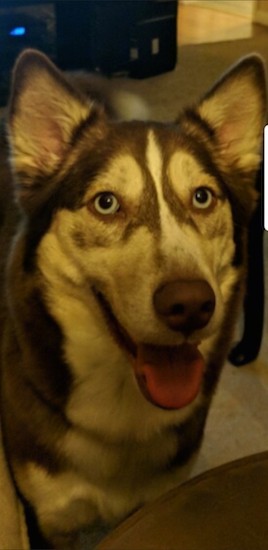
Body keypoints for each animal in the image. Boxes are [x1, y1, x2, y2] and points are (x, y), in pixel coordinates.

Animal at [0, 49, 266, 548]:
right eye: (106, 203)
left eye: (203, 197)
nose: (190, 304)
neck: (123, 411)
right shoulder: (49, 518)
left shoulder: (162, 497)